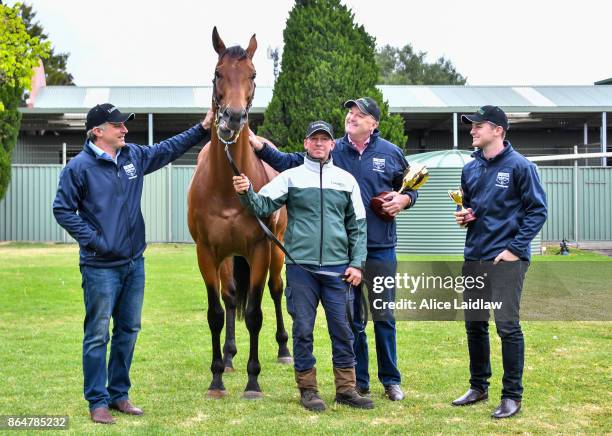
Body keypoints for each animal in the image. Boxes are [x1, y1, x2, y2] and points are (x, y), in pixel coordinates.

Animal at [186, 25, 292, 396]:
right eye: (218, 73)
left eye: (253, 74)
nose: (233, 118)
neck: (227, 187)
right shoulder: (207, 253)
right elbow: (216, 313)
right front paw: (217, 377)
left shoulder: (259, 250)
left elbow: (257, 313)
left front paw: (253, 382)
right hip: (229, 257)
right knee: (231, 298)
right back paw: (230, 357)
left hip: (276, 250)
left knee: (276, 291)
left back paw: (284, 349)